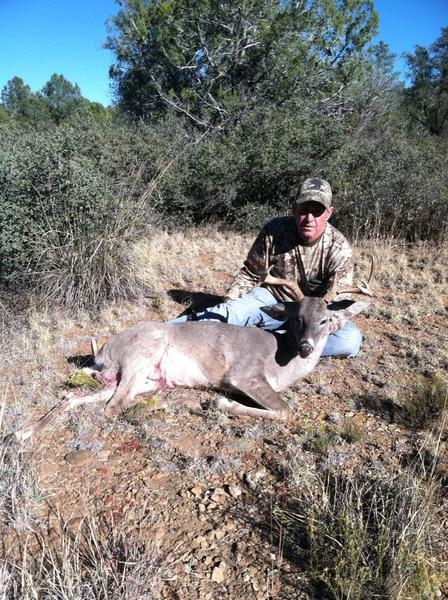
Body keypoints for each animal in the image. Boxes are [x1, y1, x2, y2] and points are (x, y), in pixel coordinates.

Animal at [11, 255, 374, 442]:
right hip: (145, 352)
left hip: (141, 378)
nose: (306, 347)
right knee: (115, 406)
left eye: (326, 319)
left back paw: (21, 434)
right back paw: (183, 404)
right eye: (297, 317)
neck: (282, 359)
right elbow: (285, 410)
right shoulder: (245, 374)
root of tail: (101, 354)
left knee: (78, 398)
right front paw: (222, 404)